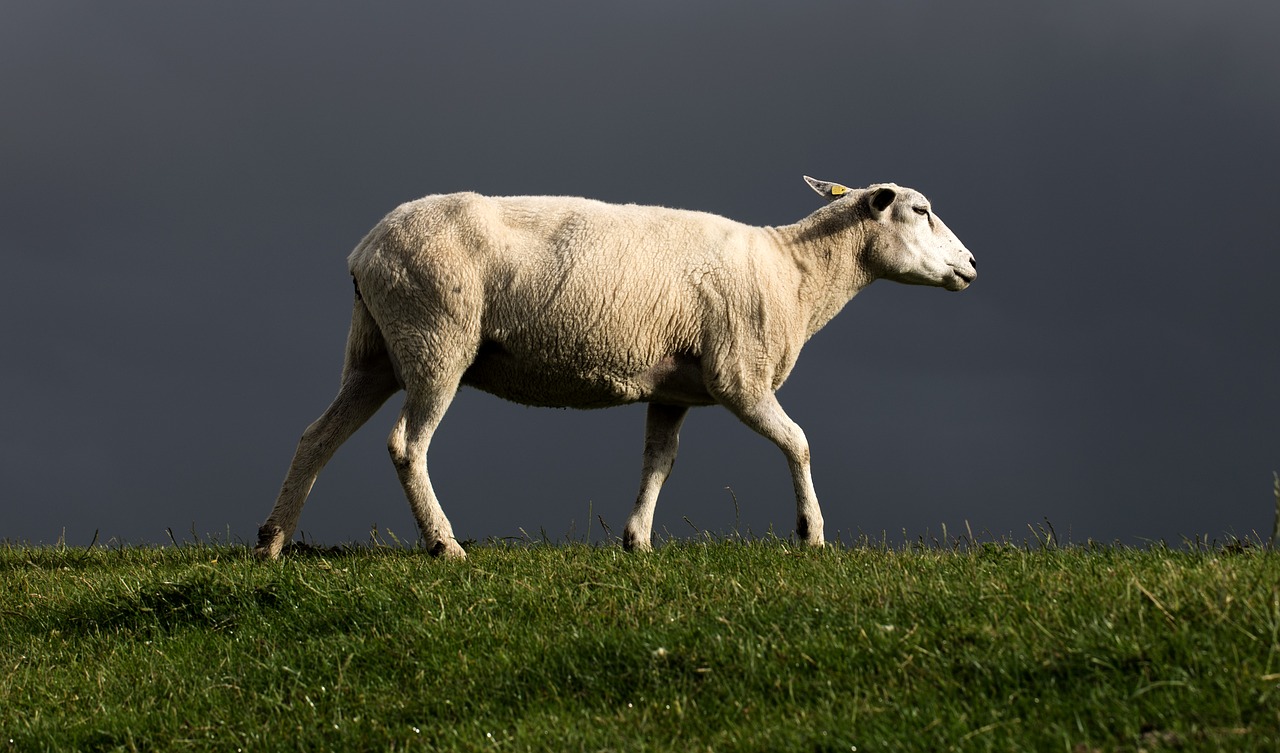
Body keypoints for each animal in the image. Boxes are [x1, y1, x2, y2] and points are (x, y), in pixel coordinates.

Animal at [257, 178, 977, 558]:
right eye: (920, 210)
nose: (972, 265)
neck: (795, 271)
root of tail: (365, 249)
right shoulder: (737, 374)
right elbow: (799, 442)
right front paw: (812, 534)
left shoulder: (677, 387)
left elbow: (659, 460)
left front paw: (637, 542)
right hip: (437, 336)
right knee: (406, 444)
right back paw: (444, 545)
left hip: (377, 350)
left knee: (316, 437)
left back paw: (272, 540)